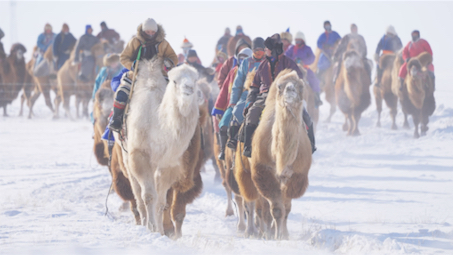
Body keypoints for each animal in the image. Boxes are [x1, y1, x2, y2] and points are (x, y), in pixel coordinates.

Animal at [251, 68, 310, 239]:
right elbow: (276, 209)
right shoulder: (263, 171)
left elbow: (286, 207)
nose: (290, 89)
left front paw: (283, 234)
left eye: (300, 86)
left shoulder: (296, 175)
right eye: (280, 86)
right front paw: (276, 236)